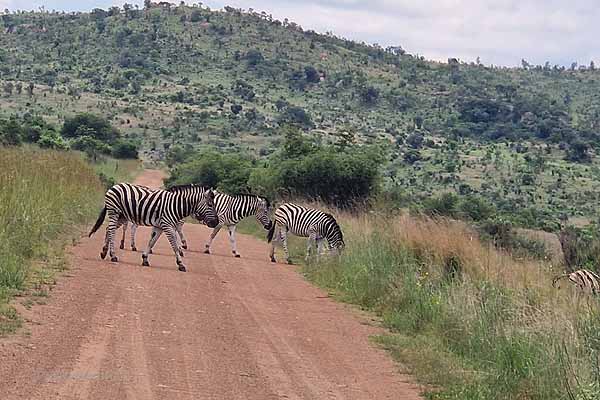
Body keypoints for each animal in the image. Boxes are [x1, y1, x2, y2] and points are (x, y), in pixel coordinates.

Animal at [89, 183, 218, 272]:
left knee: (108, 229)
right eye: (210, 204)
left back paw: (104, 252)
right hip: (114, 212)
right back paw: (113, 255)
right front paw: (181, 264)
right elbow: (174, 245)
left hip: (121, 216)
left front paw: (145, 259)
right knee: (111, 231)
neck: (175, 205)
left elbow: (152, 241)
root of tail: (115, 186)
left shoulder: (159, 226)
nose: (216, 222)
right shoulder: (167, 225)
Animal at [135, 192, 272, 258]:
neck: (233, 207)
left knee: (176, 228)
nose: (269, 226)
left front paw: (236, 252)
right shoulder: (220, 222)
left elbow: (233, 239)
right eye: (266, 212)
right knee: (176, 227)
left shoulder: (232, 225)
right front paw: (206, 248)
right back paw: (181, 245)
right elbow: (213, 235)